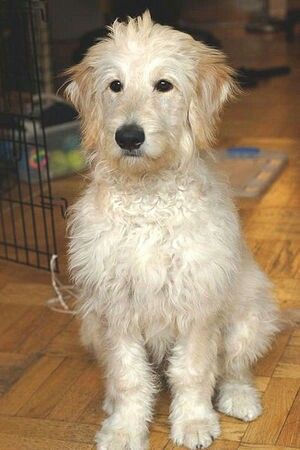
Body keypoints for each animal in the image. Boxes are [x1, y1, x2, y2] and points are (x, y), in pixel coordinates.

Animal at [66, 11, 284, 450]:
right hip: (91, 324)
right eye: (115, 85)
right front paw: (125, 428)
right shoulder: (117, 310)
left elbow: (194, 372)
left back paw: (239, 397)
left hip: (249, 318)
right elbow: (129, 377)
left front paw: (194, 422)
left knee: (234, 367)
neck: (148, 199)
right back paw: (111, 403)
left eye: (163, 85)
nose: (128, 136)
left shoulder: (197, 307)